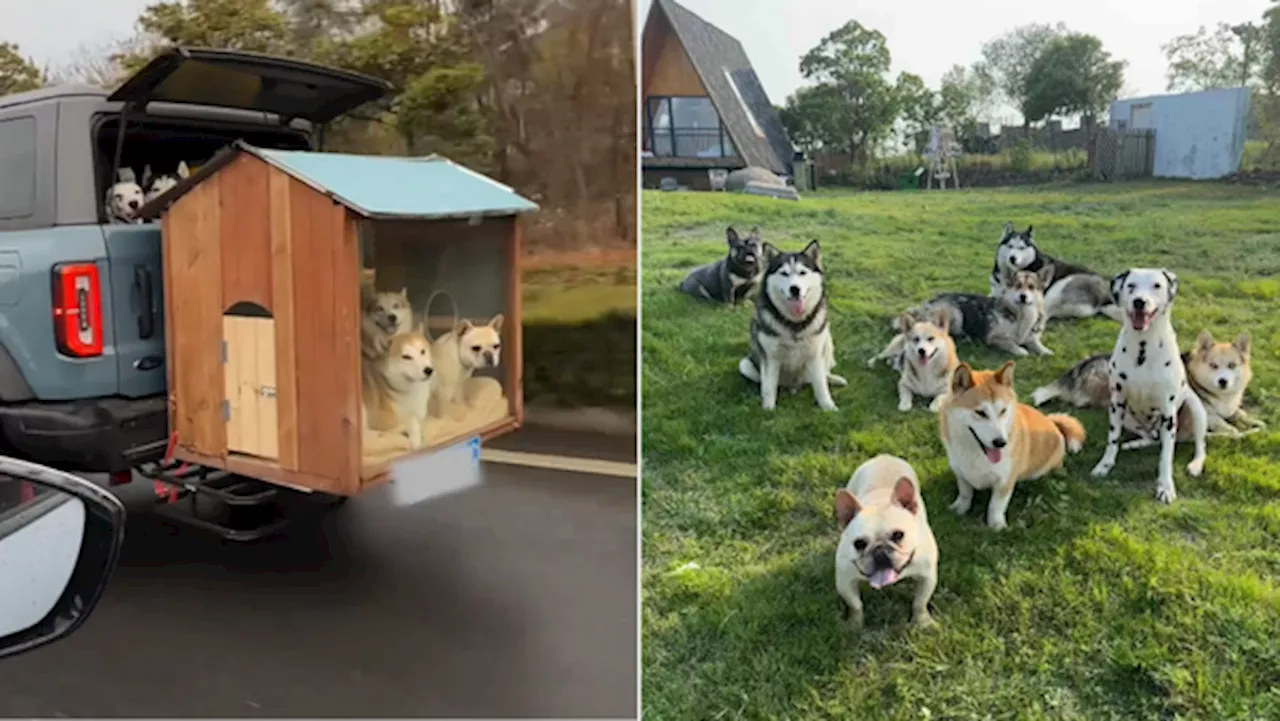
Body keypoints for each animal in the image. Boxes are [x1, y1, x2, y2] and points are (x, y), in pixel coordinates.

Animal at [834, 455, 936, 632]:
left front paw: (922, 622)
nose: (879, 551)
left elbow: (919, 603)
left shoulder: (927, 577)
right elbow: (855, 605)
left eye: (898, 535)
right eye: (859, 544)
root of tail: (884, 456)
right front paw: (855, 624)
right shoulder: (845, 580)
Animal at [936, 361, 1085, 530]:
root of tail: (1052, 422)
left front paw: (996, 526)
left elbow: (996, 505)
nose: (1001, 443)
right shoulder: (961, 472)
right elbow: (965, 492)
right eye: (981, 412)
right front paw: (960, 508)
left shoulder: (1005, 480)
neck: (975, 453)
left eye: (1003, 411)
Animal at [1029, 330, 1259, 440]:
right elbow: (1225, 425)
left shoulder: (1231, 408)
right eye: (1213, 366)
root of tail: (1081, 366)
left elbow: (1240, 414)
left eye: (1232, 365)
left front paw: (1255, 422)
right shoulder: (1209, 415)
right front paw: (1236, 431)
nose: (1223, 381)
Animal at [1085, 267, 1203, 504]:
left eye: (1157, 285)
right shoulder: (1117, 403)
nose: (1139, 301)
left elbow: (1166, 455)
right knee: (1151, 438)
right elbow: (1112, 440)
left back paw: (1195, 465)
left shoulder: (1168, 413)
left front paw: (1165, 486)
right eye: (1131, 285)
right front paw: (1104, 465)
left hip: (1196, 410)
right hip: (1126, 417)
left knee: (1197, 446)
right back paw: (1134, 444)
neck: (1143, 347)